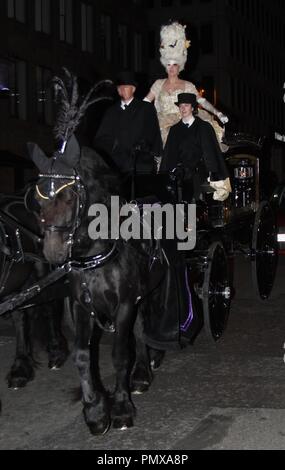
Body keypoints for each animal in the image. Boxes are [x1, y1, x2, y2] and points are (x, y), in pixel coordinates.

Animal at [28, 134, 164, 436]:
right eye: (38, 199)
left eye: (69, 197)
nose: (53, 252)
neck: (96, 258)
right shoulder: (81, 306)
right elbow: (81, 356)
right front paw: (95, 411)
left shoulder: (124, 305)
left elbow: (119, 354)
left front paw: (122, 408)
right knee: (139, 328)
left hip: (148, 294)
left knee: (146, 327)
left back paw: (145, 367)